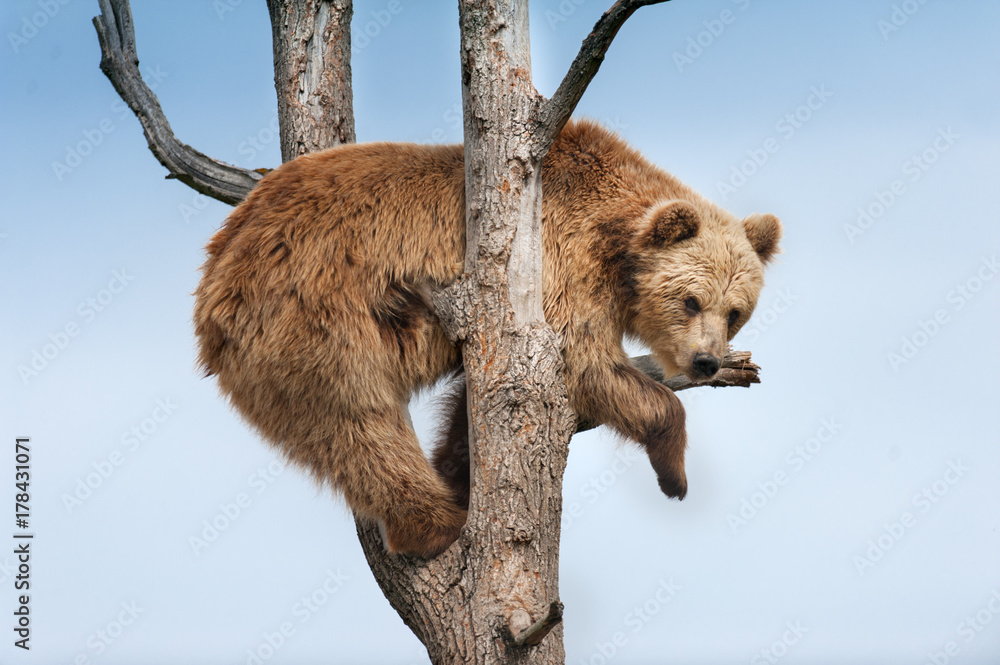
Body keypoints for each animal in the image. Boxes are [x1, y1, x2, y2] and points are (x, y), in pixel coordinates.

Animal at [193, 120, 781, 558]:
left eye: (736, 312)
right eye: (691, 300)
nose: (705, 362)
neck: (613, 247)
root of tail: (213, 283)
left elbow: (480, 402)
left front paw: (462, 468)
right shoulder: (551, 262)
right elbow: (580, 364)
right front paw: (675, 474)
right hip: (318, 316)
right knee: (358, 421)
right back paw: (435, 525)